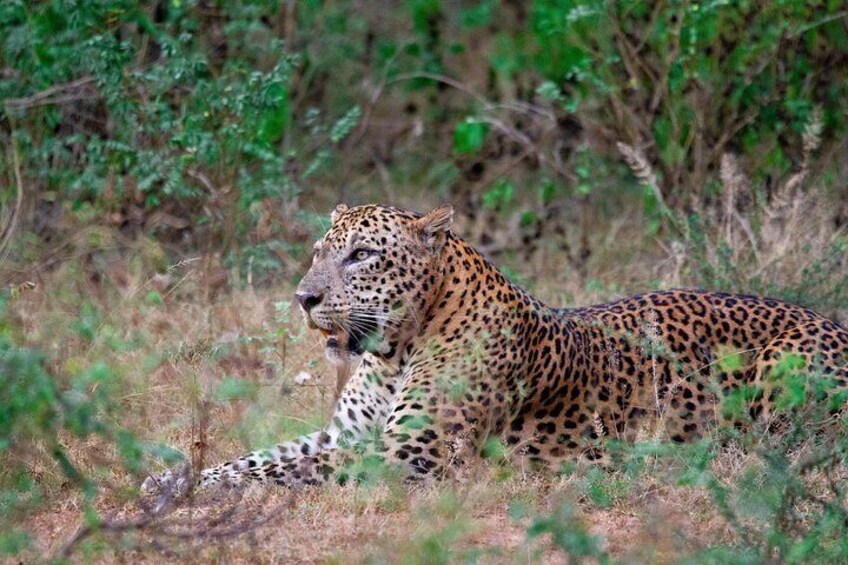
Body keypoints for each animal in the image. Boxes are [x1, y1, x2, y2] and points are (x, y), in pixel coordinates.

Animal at [142, 203, 848, 494]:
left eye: (361, 254)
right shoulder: (347, 436)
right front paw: (170, 476)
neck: (396, 350)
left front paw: (184, 491)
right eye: (320, 251)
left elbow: (281, 472)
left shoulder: (405, 456)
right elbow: (257, 457)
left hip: (781, 371)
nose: (303, 297)